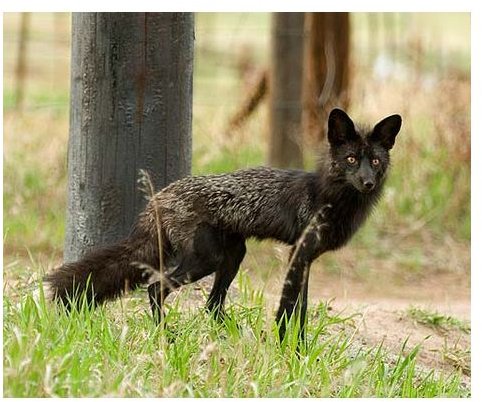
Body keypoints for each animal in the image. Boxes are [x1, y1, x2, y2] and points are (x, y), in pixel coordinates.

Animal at [46, 109, 400, 340]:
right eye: (351, 159)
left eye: (375, 161)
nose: (368, 183)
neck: (328, 198)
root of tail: (157, 197)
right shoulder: (298, 255)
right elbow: (289, 312)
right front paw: (289, 351)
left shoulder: (306, 259)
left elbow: (300, 311)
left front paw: (296, 350)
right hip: (206, 260)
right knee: (156, 289)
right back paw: (167, 336)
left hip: (231, 258)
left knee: (211, 306)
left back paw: (233, 337)